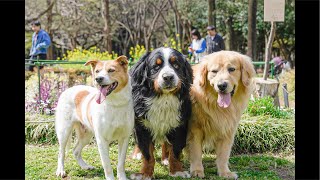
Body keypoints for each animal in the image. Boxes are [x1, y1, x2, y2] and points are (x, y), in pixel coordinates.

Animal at [128, 47, 192, 179]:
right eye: (156, 67)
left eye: (176, 65)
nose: (168, 77)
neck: (163, 99)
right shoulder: (142, 126)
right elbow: (148, 153)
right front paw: (145, 173)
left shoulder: (179, 125)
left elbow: (175, 151)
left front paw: (176, 171)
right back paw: (137, 154)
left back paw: (165, 159)